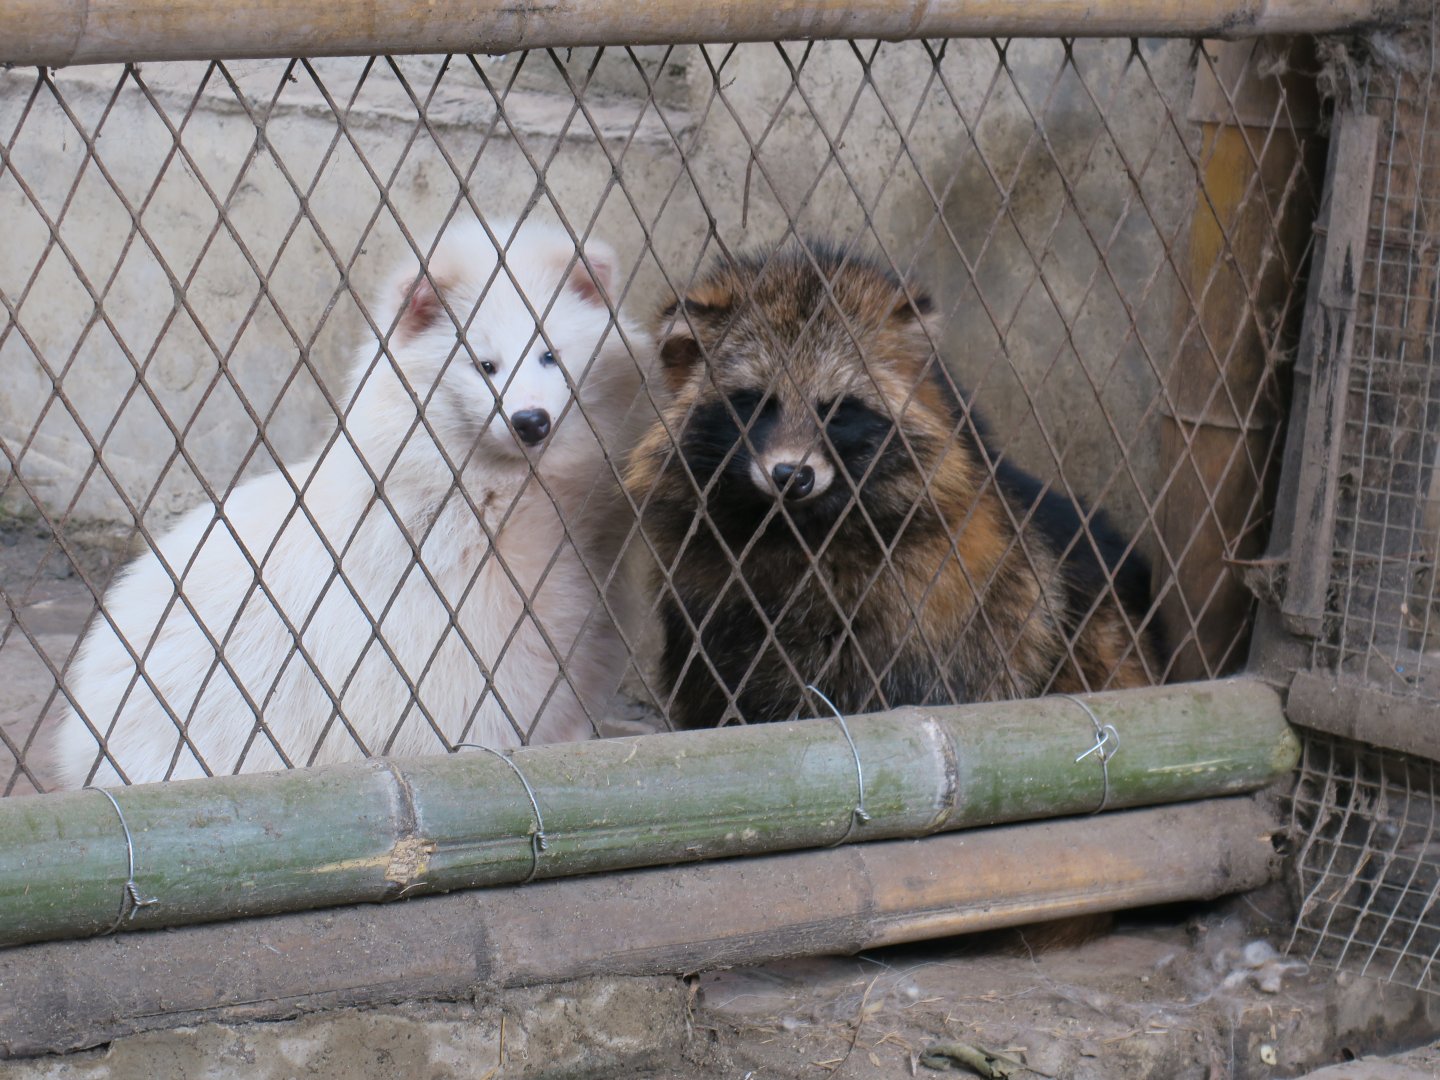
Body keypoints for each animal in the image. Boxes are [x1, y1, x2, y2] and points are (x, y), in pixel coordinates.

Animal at [625, 242, 1163, 730]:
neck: (798, 531)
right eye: (757, 404)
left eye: (835, 410)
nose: (791, 475)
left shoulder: (939, 616)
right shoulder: (711, 604)